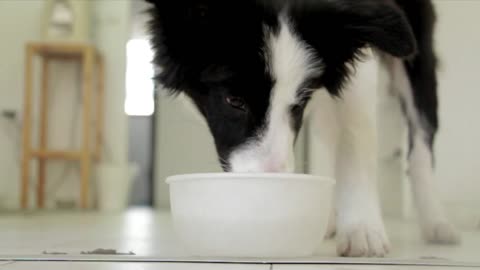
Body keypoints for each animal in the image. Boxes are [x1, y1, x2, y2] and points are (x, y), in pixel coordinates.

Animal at [144, 0, 460, 258]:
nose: (272, 187)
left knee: (420, 142)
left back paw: (437, 222)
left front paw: (362, 229)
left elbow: (355, 133)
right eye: (234, 101)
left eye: (299, 104)